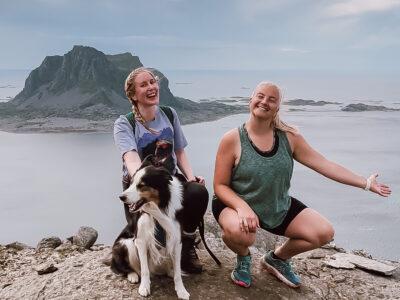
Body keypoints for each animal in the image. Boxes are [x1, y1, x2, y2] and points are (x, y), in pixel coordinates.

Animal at [111, 157, 189, 300]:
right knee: (123, 268)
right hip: (126, 243)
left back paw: (169, 271)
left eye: (142, 185)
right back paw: (133, 275)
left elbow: (177, 271)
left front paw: (181, 290)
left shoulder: (177, 240)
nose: (121, 197)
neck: (157, 209)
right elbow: (145, 270)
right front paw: (144, 287)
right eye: (131, 183)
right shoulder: (140, 240)